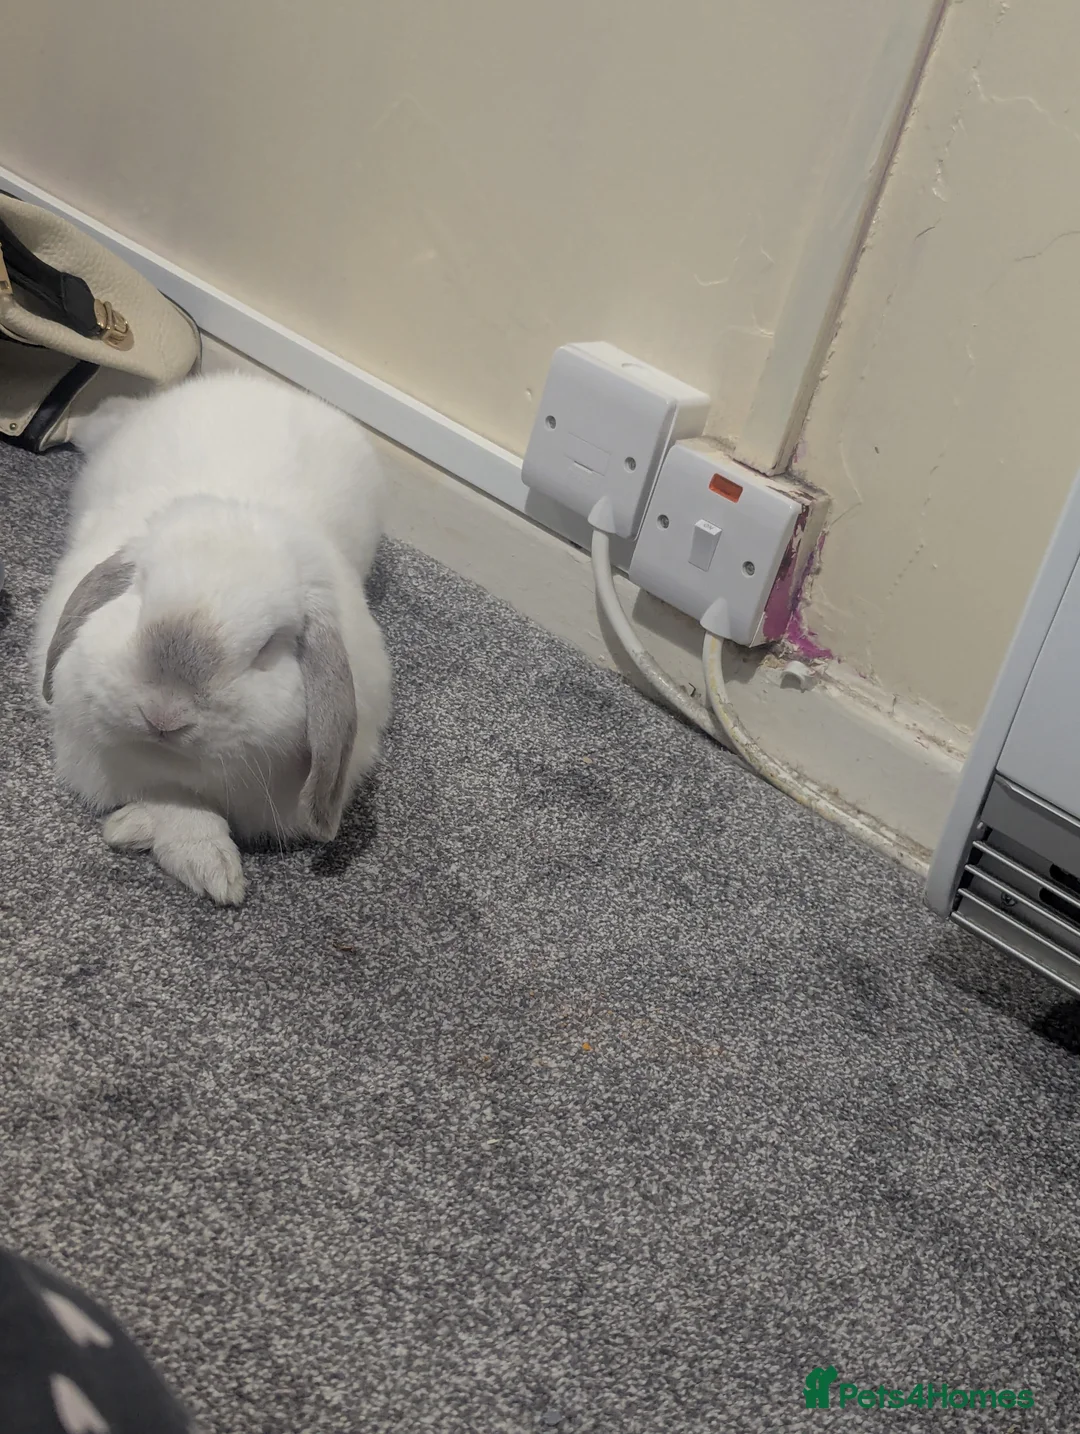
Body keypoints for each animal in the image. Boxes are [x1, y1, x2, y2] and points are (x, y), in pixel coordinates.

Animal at [33, 370, 392, 906]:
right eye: (139, 595)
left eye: (266, 650)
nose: (163, 716)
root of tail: (266, 387)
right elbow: (176, 807)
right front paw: (202, 863)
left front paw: (187, 859)